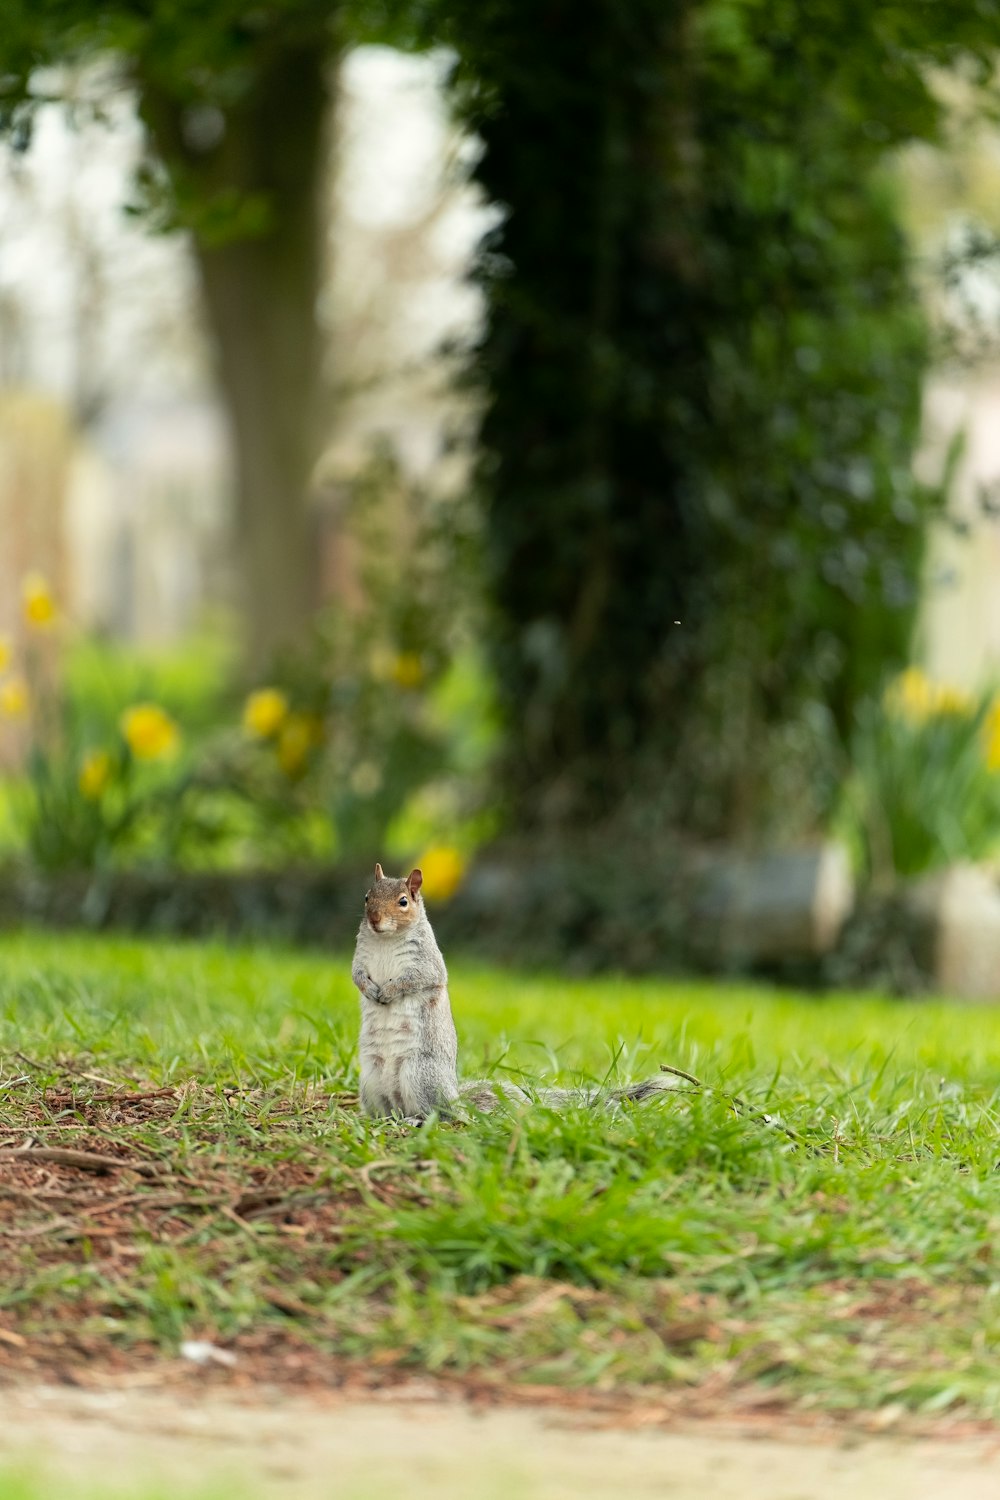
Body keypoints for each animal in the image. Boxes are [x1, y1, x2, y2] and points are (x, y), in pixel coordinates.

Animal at [352, 864, 680, 1122]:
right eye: (367, 897)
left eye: (403, 901)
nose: (374, 919)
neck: (386, 939)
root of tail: (455, 1097)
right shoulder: (360, 957)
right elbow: (357, 975)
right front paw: (370, 988)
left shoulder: (427, 961)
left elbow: (419, 978)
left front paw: (389, 990)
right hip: (370, 1083)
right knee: (391, 1111)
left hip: (420, 1076)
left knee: (442, 1115)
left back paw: (419, 1120)